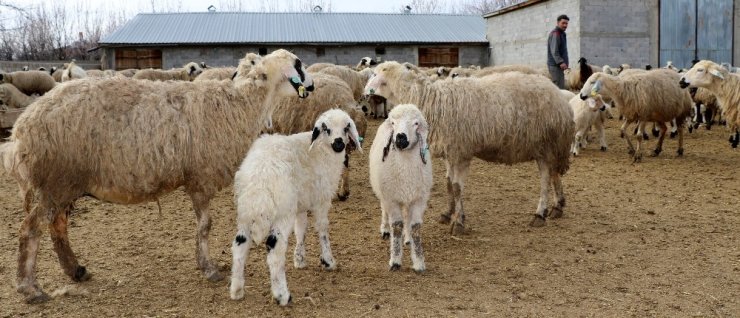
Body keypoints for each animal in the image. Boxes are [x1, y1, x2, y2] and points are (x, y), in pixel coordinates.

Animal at [8, 49, 316, 304]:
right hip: (55, 182)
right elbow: (205, 226)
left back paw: (76, 270)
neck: (240, 105)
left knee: (57, 228)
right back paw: (30, 288)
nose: (312, 86)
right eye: (298, 64)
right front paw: (209, 268)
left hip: (63, 185)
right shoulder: (200, 178)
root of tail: (22, 127)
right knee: (30, 230)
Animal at [228, 108, 362, 306]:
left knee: (239, 246)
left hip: (246, 212)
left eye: (346, 128)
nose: (338, 143)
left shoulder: (301, 205)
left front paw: (299, 259)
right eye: (326, 128)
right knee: (275, 252)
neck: (321, 150)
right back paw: (282, 295)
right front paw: (328, 261)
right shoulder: (321, 200)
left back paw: (237, 289)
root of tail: (259, 178)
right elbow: (323, 229)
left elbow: (301, 230)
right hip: (282, 213)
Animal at [364, 61, 572, 231]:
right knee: (554, 173)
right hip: (546, 147)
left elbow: (457, 187)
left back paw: (540, 213)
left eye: (375, 74)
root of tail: (558, 95)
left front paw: (458, 222)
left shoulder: (460, 152)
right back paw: (557, 206)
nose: (365, 92)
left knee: (546, 178)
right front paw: (447, 214)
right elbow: (449, 184)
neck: (431, 100)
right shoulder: (450, 152)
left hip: (546, 144)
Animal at [370, 104, 434, 274]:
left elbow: (415, 227)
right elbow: (397, 226)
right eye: (393, 123)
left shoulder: (419, 199)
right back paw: (385, 229)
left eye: (416, 123)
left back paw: (408, 238)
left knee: (407, 216)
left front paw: (418, 262)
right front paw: (395, 261)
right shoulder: (391, 199)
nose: (400, 137)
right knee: (384, 210)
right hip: (384, 193)